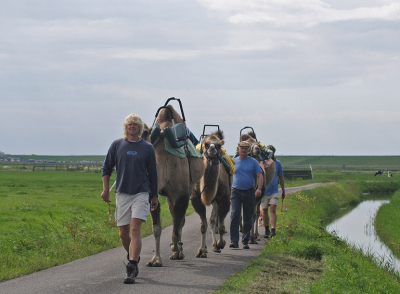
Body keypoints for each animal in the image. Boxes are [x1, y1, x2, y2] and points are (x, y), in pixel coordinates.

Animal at [141, 104, 203, 266]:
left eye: (145, 132)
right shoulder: (153, 195)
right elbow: (157, 229)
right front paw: (155, 259)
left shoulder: (182, 194)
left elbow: (176, 227)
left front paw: (176, 248)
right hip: (169, 197)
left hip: (189, 187)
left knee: (179, 222)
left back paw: (179, 250)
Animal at [191, 130, 231, 258]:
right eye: (206, 144)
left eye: (218, 145)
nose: (212, 149)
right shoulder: (196, 199)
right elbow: (203, 225)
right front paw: (201, 250)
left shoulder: (223, 199)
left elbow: (221, 225)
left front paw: (220, 244)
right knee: (211, 220)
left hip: (216, 201)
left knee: (213, 220)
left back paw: (215, 245)